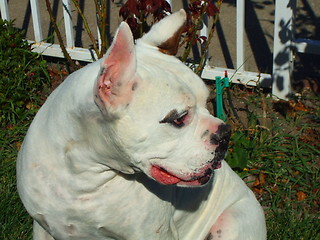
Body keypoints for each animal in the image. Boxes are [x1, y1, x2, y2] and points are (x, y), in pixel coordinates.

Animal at [18, 9, 268, 240]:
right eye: (179, 118)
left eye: (207, 101)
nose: (225, 133)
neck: (83, 173)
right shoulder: (42, 227)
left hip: (231, 224)